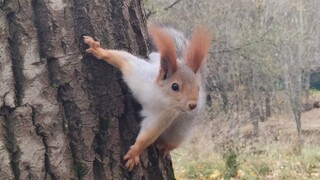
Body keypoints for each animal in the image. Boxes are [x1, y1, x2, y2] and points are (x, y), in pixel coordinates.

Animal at [84, 24, 211, 171]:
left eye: (198, 88)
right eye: (175, 86)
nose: (193, 104)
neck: (158, 95)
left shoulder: (164, 115)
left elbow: (148, 134)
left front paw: (135, 152)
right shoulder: (138, 74)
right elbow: (124, 59)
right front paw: (98, 50)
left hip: (180, 130)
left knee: (173, 141)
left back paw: (164, 146)